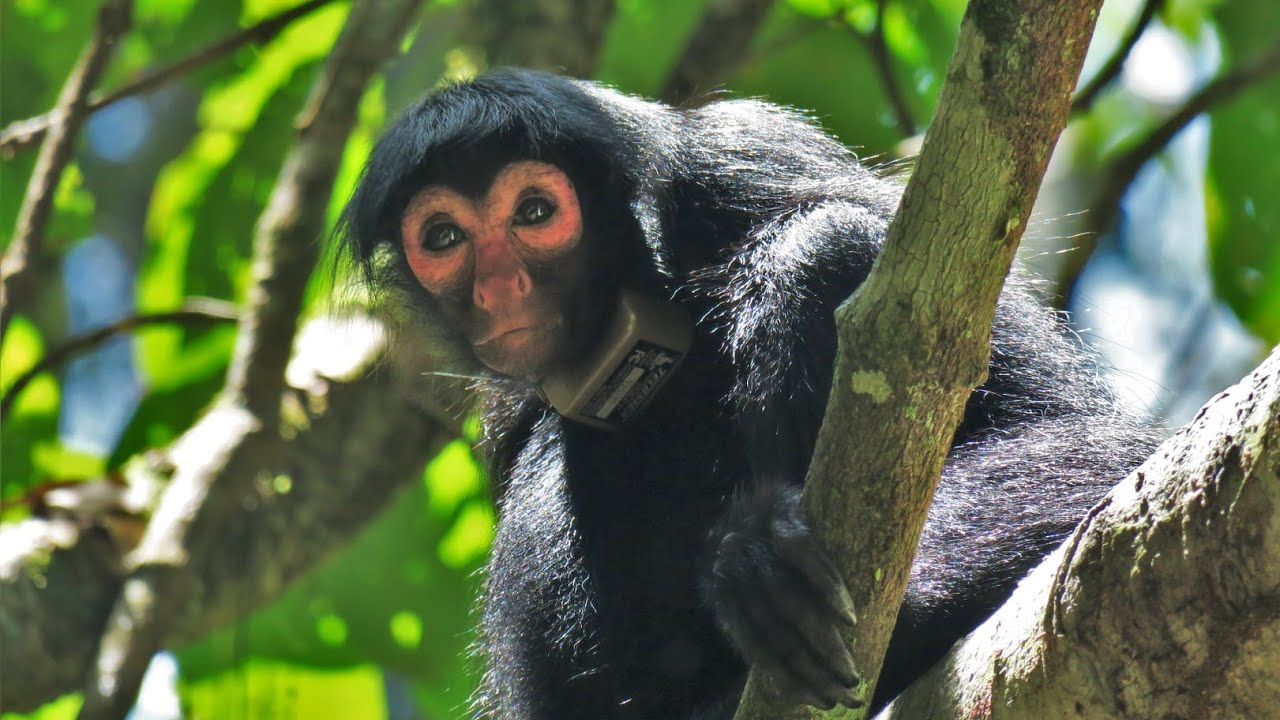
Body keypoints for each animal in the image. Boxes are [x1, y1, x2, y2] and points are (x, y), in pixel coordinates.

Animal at [338, 69, 1160, 718]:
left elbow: (1095, 443)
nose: (501, 288)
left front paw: (767, 566)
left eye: (535, 213)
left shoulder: (750, 159)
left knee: (820, 246)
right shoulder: (504, 407)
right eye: (444, 237)